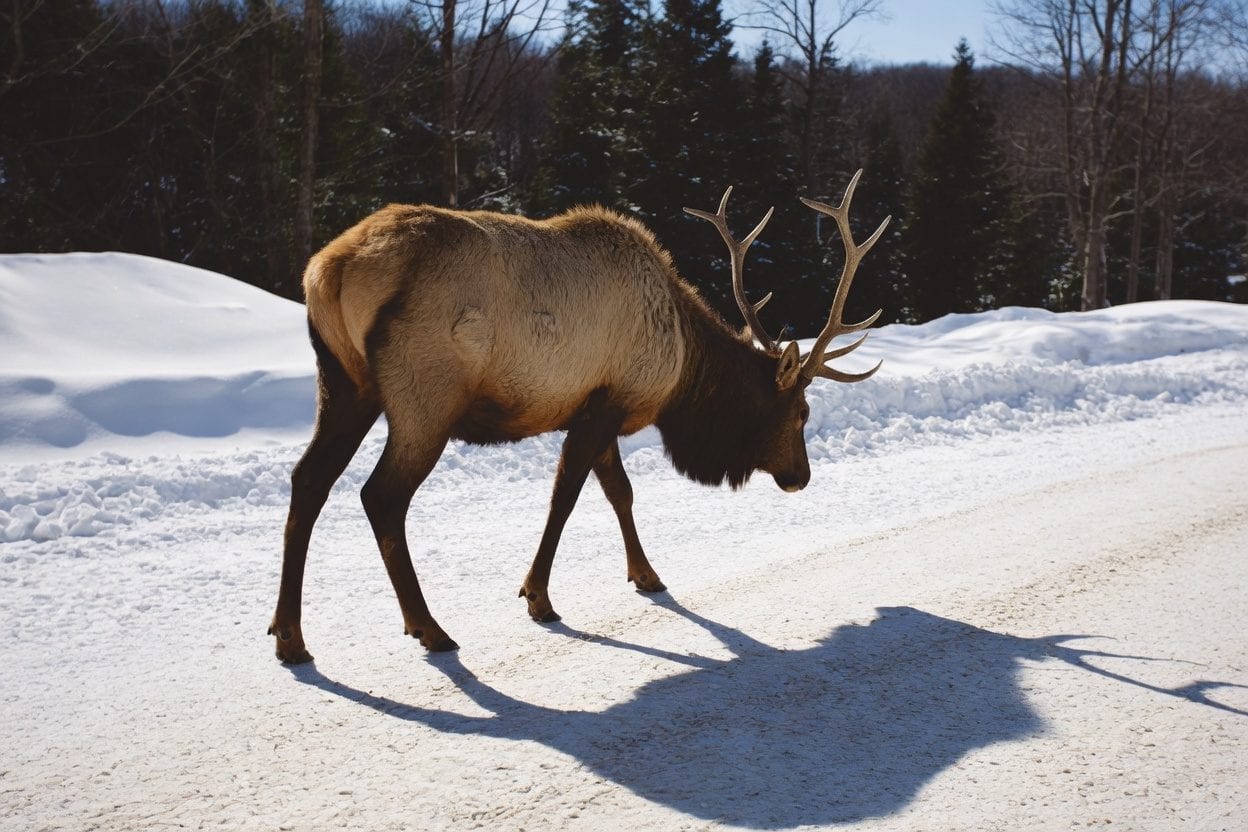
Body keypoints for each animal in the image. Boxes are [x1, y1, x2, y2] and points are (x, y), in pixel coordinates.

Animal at [268, 170, 890, 663]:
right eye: (801, 411)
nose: (800, 476)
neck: (681, 371)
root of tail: (330, 270)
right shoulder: (606, 402)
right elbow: (567, 495)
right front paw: (538, 597)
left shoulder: (596, 405)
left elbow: (619, 492)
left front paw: (645, 574)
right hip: (426, 393)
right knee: (381, 495)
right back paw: (429, 628)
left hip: (345, 383)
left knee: (308, 479)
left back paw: (290, 637)